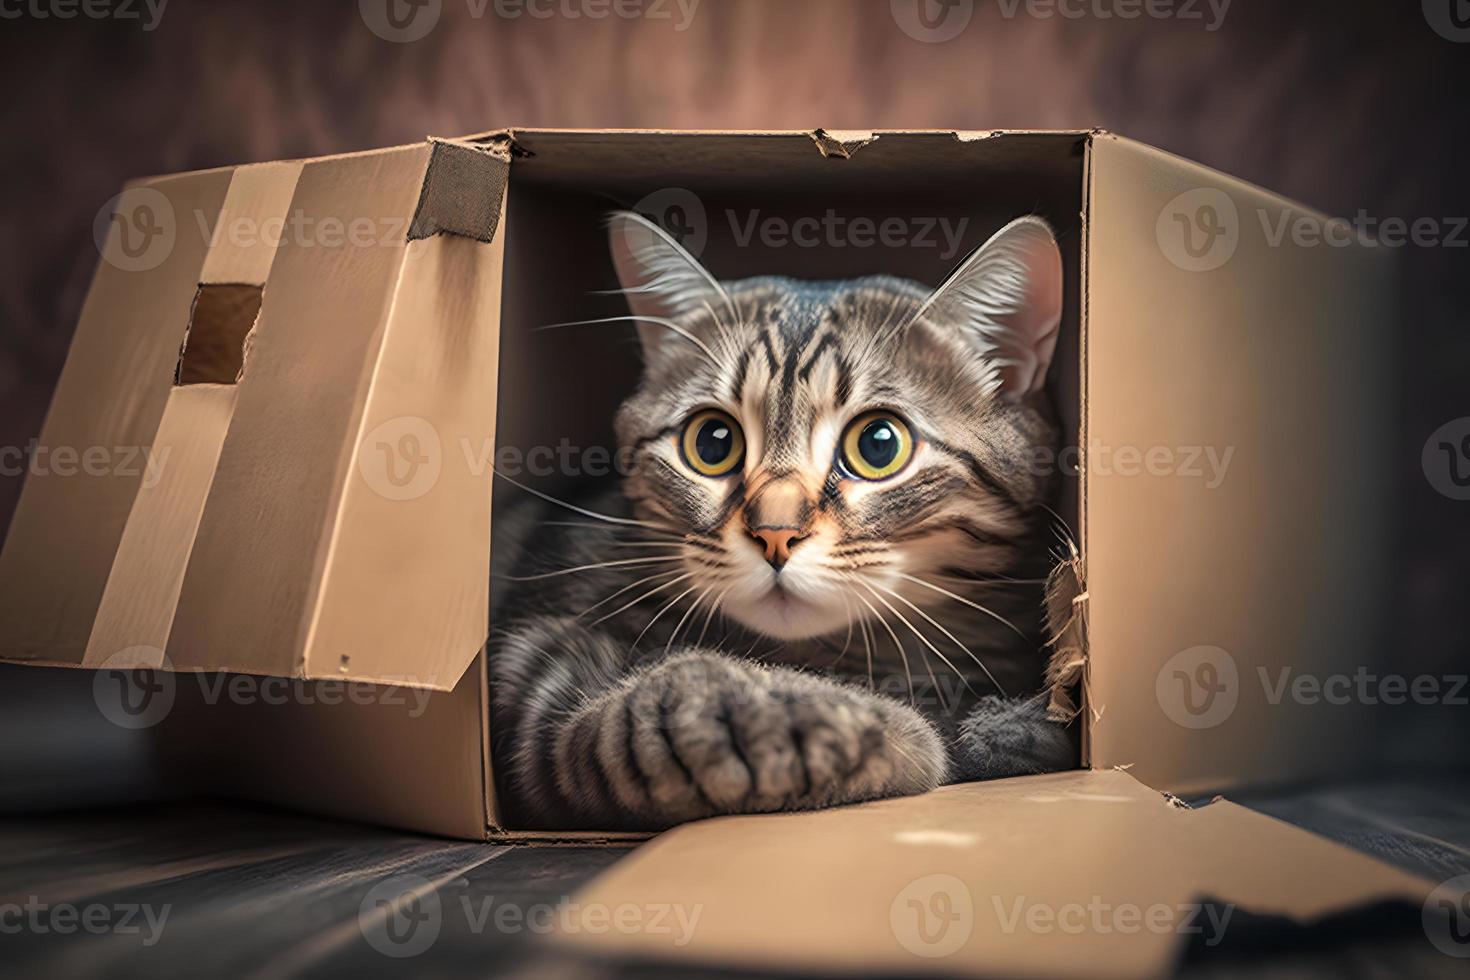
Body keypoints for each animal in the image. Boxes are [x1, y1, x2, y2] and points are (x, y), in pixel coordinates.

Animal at [488, 211, 1076, 834]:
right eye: (712, 442)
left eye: (879, 444)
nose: (774, 533)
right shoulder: (539, 658)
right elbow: (656, 705)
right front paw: (854, 728)